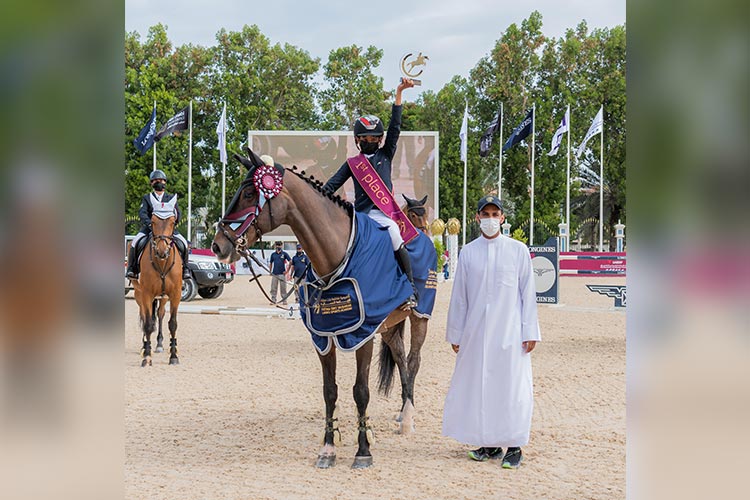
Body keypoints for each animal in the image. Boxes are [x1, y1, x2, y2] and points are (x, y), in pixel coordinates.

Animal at [131, 213, 183, 366]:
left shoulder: (175, 294)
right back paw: (144, 346)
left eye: (172, 222)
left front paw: (173, 356)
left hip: (163, 297)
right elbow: (148, 324)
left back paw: (159, 344)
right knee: (144, 315)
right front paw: (147, 357)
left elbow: (172, 324)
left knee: (160, 314)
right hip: (139, 295)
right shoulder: (146, 294)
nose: (161, 251)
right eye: (153, 221)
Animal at [210, 149, 418, 468]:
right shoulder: (323, 338)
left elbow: (361, 391)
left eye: (249, 193)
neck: (336, 256)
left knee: (412, 361)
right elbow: (329, 391)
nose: (218, 245)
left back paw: (408, 419)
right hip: (390, 327)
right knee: (401, 359)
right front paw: (328, 448)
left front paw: (363, 451)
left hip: (418, 320)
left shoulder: (364, 335)